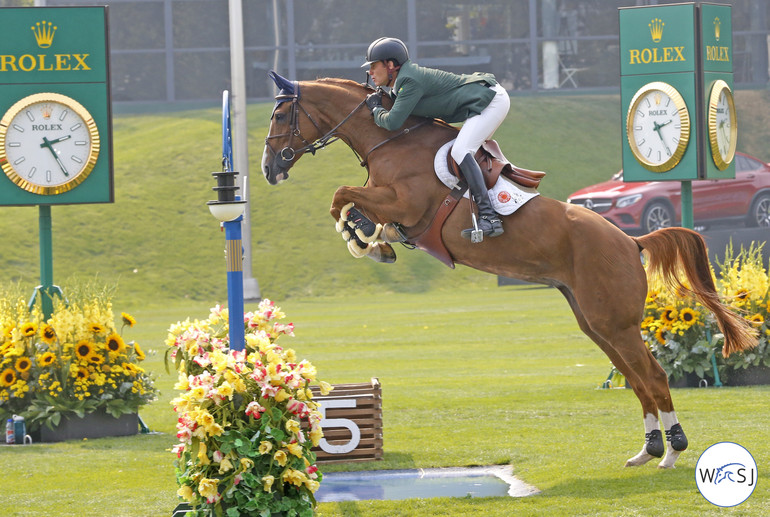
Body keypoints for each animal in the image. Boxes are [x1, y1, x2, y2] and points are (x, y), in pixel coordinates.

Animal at [260, 73, 752, 468]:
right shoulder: (389, 203)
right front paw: (368, 239)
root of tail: (631, 241)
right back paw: (647, 451)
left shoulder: (405, 204)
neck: (390, 139)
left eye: (281, 114)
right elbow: (347, 201)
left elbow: (342, 194)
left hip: (616, 322)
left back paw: (671, 451)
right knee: (636, 379)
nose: (268, 169)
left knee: (652, 376)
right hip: (597, 323)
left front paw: (365, 237)